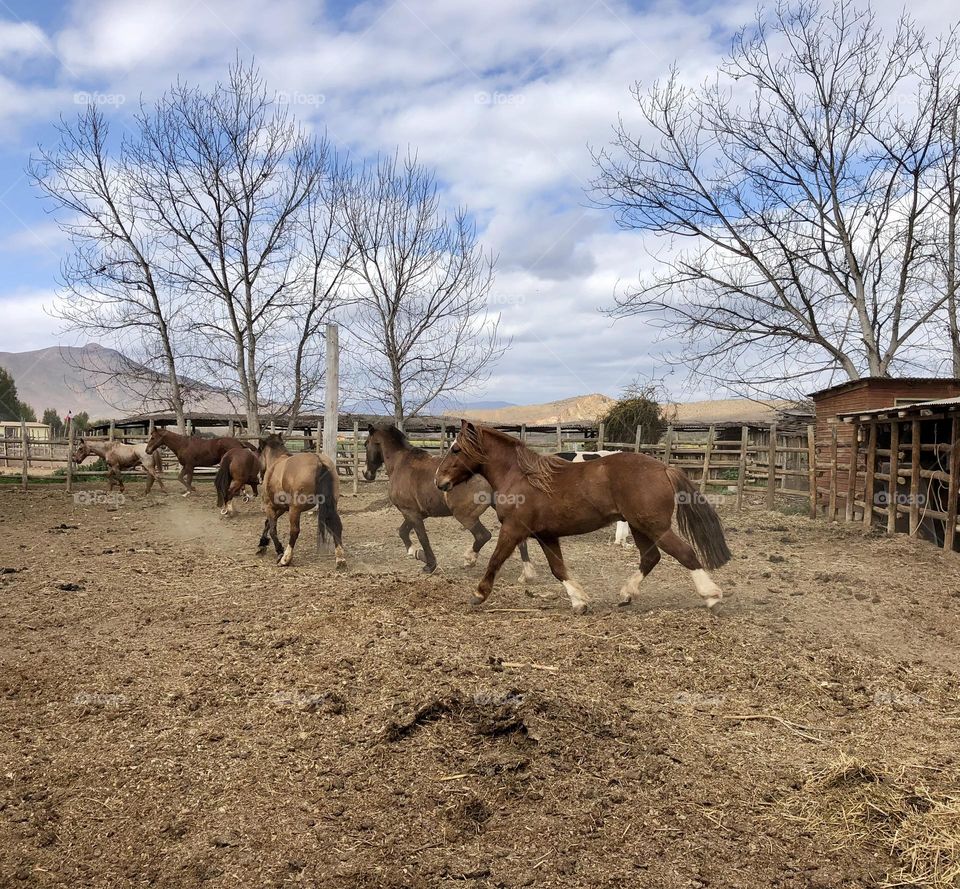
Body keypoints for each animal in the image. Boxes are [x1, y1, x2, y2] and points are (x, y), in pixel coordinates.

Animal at [258, 434, 345, 568]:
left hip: (295, 509)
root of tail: (319, 460)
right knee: (336, 525)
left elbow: (272, 528)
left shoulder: (270, 506)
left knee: (294, 531)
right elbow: (268, 523)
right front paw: (262, 543)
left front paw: (279, 551)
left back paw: (286, 559)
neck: (276, 463)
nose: (259, 476)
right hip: (331, 503)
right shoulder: (283, 507)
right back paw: (340, 559)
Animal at [363, 423, 536, 580]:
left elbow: (422, 538)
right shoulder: (417, 513)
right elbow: (403, 532)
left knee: (483, 535)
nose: (366, 473)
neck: (400, 463)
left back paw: (469, 559)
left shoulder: (411, 512)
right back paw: (527, 573)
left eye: (365, 444)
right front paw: (415, 553)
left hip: (464, 515)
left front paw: (429, 565)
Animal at [435, 421, 731, 614]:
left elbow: (495, 560)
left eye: (456, 449)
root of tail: (664, 468)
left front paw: (478, 594)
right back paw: (626, 594)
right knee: (651, 558)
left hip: (654, 526)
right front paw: (580, 602)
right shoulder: (546, 535)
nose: (440, 481)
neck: (521, 477)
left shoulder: (513, 529)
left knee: (685, 553)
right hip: (639, 526)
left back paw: (712, 597)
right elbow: (558, 569)